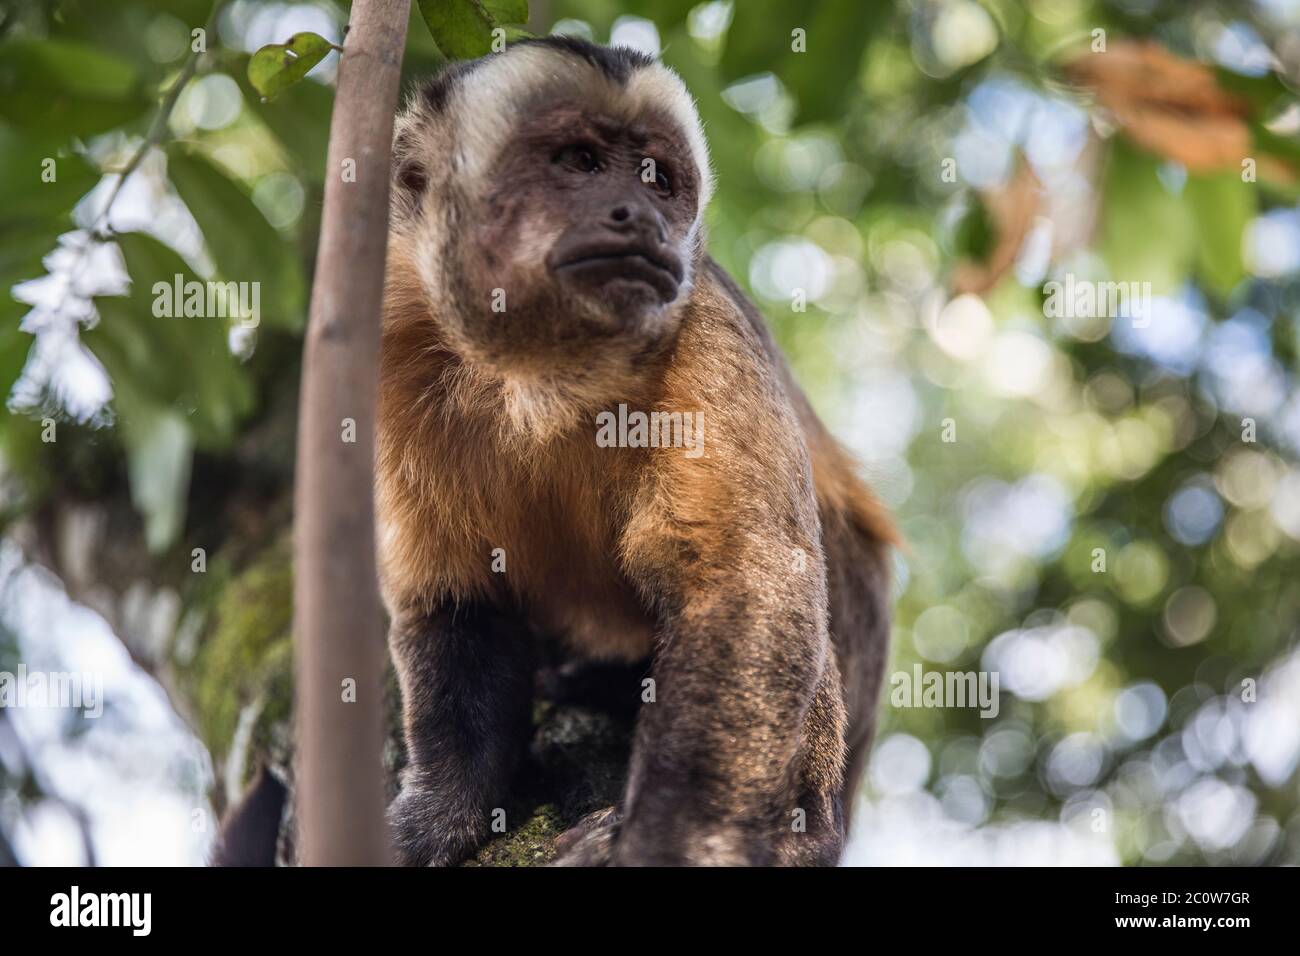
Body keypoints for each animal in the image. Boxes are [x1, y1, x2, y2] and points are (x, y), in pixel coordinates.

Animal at [379, 39, 894, 868]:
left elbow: (747, 585)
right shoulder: (398, 345)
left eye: (657, 179)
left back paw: (802, 830)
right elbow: (455, 600)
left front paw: (669, 840)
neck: (540, 372)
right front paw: (441, 814)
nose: (640, 215)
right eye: (579, 161)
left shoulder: (704, 328)